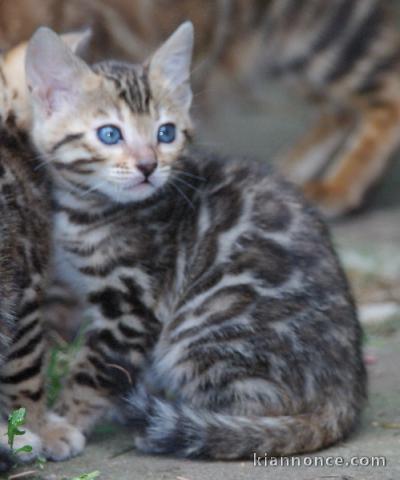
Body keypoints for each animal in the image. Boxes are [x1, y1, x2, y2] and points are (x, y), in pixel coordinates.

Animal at [25, 23, 366, 462]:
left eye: (165, 133)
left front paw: (61, 424)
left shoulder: (135, 302)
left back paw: (193, 423)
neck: (90, 208)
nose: (148, 165)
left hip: (202, 327)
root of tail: (345, 392)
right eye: (109, 134)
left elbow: (96, 372)